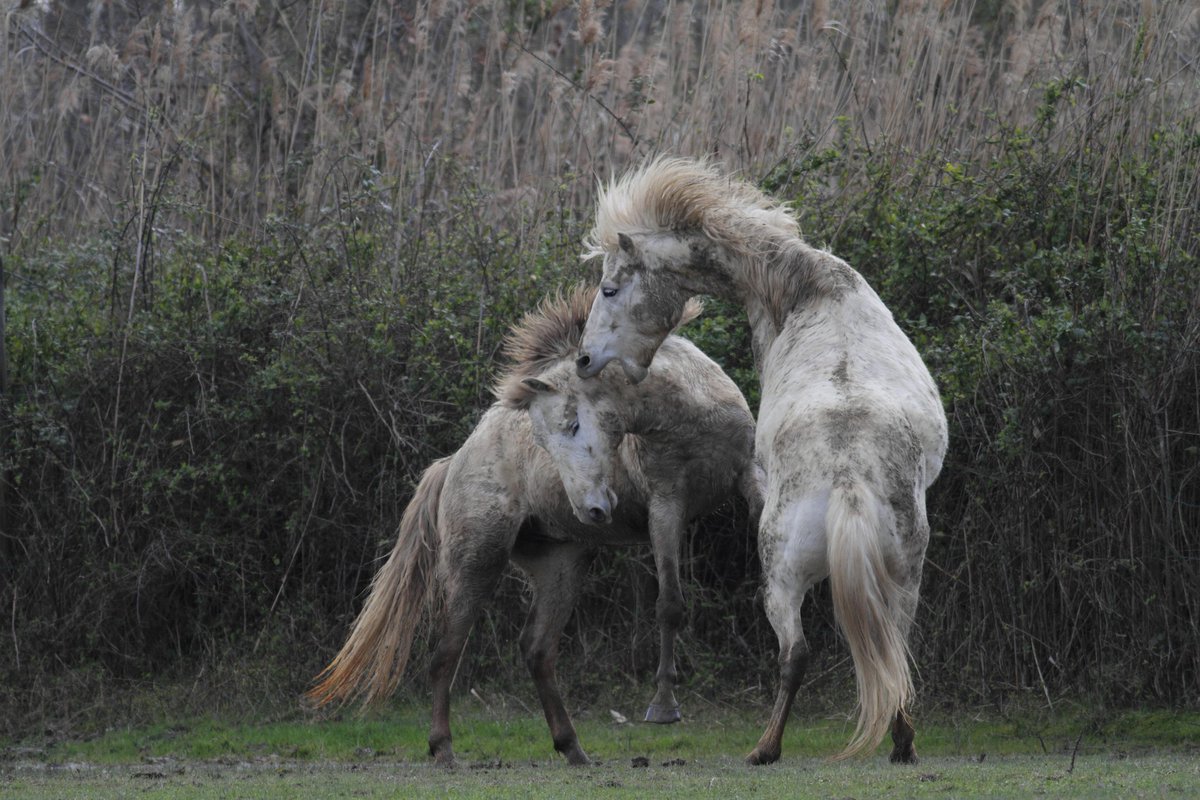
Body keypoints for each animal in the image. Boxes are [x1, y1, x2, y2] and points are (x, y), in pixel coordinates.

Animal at [306, 285, 761, 767]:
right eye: (544, 438)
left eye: (574, 423)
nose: (592, 510)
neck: (687, 415)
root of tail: (454, 462)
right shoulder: (666, 504)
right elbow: (670, 604)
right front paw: (663, 707)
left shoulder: (750, 478)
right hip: (478, 562)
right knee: (447, 651)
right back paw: (443, 746)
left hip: (562, 566)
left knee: (538, 650)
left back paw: (571, 746)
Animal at [574, 157, 949, 765]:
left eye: (610, 288)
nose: (584, 359)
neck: (807, 289)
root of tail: (848, 482)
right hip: (903, 575)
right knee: (894, 654)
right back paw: (902, 744)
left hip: (780, 579)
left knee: (795, 654)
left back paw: (765, 748)